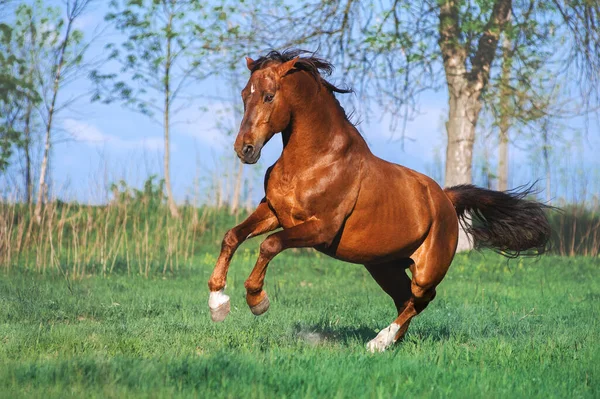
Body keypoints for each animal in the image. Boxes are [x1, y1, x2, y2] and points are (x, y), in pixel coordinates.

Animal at [207, 49, 552, 354]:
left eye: (268, 96)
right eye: (244, 95)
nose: (245, 149)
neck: (315, 161)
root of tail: (445, 197)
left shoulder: (320, 229)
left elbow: (270, 245)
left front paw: (257, 301)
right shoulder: (274, 212)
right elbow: (232, 236)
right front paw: (217, 303)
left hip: (426, 270)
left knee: (422, 298)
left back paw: (379, 341)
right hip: (383, 266)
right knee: (405, 299)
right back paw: (390, 342)